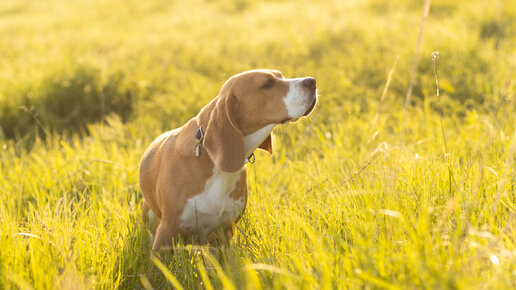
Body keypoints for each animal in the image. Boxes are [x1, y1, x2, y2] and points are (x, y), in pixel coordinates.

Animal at [139, 68, 316, 251]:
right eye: (268, 84)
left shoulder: (224, 235)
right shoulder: (166, 233)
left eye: (281, 76)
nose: (312, 81)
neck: (213, 163)